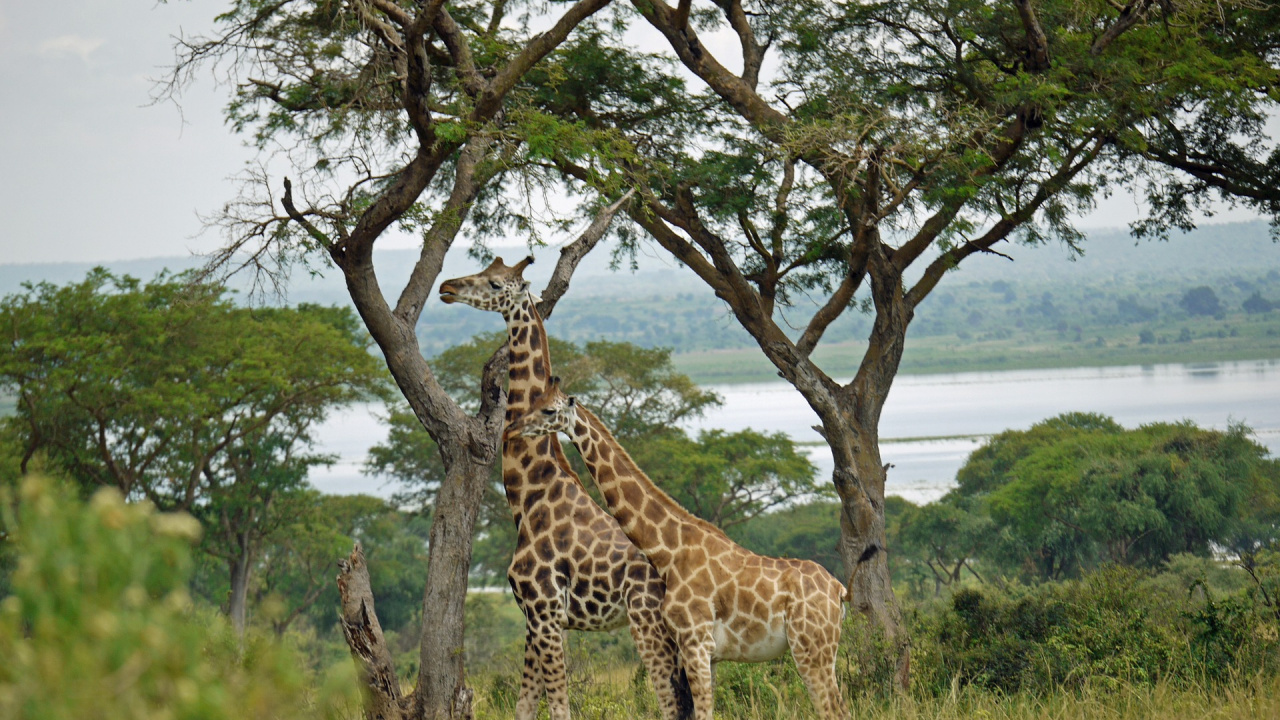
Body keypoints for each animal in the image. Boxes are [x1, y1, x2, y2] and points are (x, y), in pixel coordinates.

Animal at [438, 257, 692, 720]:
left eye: (495, 283)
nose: (447, 286)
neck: (531, 492)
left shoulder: (545, 609)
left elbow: (559, 706)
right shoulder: (533, 616)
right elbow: (524, 704)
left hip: (648, 623)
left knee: (671, 701)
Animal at [512, 380, 851, 720]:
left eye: (549, 410)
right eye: (534, 401)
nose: (515, 427)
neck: (669, 552)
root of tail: (838, 589)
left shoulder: (695, 641)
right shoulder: (704, 652)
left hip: (811, 648)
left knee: (833, 709)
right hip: (820, 649)